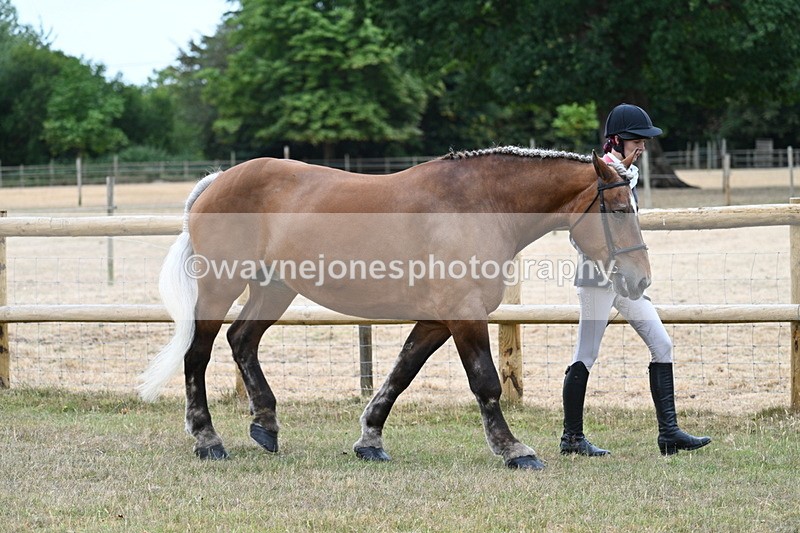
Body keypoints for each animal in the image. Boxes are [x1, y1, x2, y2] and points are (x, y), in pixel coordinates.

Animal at [138, 146, 650, 470]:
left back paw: (265, 425)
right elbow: (485, 383)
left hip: (274, 289)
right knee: (198, 354)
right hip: (220, 286)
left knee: (241, 340)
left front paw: (370, 440)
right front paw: (514, 450)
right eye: (619, 209)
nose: (640, 279)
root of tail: (216, 182)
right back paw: (207, 440)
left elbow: (400, 375)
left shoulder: (437, 320)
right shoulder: (464, 315)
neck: (479, 205)